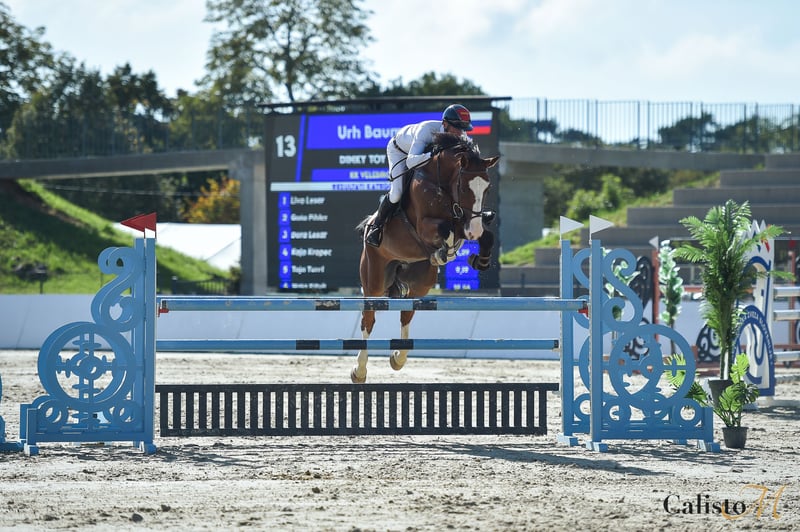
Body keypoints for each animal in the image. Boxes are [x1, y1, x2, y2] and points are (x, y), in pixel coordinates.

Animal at [352, 132, 500, 383]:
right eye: (464, 187)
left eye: (487, 189)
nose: (474, 232)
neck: (441, 184)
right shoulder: (426, 225)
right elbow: (445, 230)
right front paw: (444, 252)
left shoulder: (464, 222)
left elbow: (483, 235)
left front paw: (479, 260)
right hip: (374, 278)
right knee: (368, 319)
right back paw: (359, 370)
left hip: (421, 283)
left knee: (407, 313)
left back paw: (398, 358)